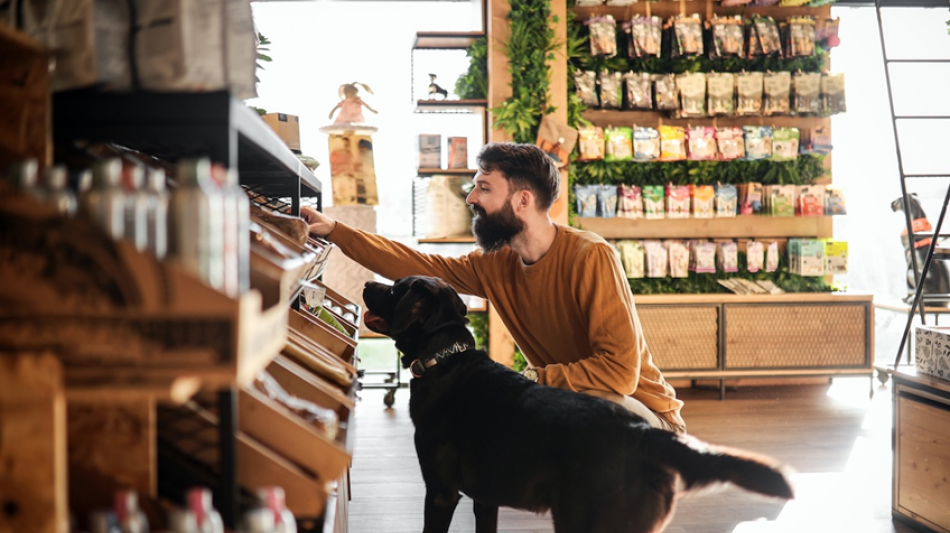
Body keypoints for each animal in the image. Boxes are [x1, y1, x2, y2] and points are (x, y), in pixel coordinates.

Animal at [362, 276, 794, 533]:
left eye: (395, 289)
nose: (366, 282)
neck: (445, 360)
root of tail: (641, 433)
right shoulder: (485, 498)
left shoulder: (441, 491)